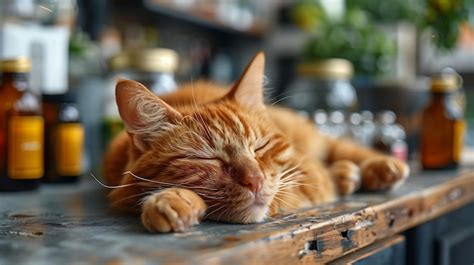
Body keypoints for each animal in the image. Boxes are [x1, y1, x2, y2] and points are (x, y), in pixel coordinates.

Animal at [103, 52, 408, 232]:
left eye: (259, 147)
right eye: (206, 158)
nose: (255, 181)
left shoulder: (306, 177)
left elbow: (285, 192)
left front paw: (168, 199)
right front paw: (172, 199)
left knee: (342, 148)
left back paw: (381, 168)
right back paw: (346, 174)